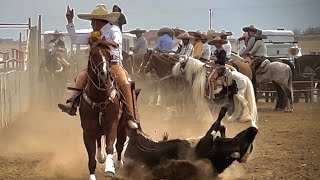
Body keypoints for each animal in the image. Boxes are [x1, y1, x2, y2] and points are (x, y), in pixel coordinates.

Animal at [79, 43, 125, 179]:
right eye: (93, 54)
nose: (104, 73)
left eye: (109, 54)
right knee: (99, 142)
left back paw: (119, 163)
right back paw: (101, 156)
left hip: (123, 126)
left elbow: (110, 146)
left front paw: (110, 169)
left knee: (119, 145)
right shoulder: (88, 131)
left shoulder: (112, 124)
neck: (99, 98)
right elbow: (91, 156)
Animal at [124, 103, 258, 175]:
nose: (254, 130)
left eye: (243, 144)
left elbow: (215, 126)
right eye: (247, 144)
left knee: (136, 135)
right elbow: (220, 128)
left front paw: (223, 111)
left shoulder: (204, 145)